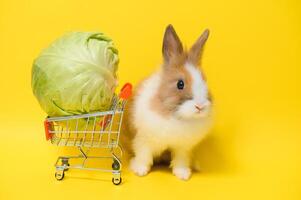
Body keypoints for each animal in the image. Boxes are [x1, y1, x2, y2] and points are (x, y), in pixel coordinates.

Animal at [122, 24, 213, 180]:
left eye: (204, 81)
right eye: (180, 84)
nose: (200, 106)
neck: (174, 115)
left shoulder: (183, 147)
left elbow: (181, 159)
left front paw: (183, 174)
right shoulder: (143, 140)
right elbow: (143, 156)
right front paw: (139, 170)